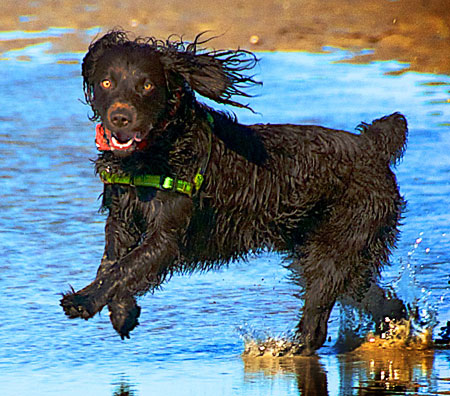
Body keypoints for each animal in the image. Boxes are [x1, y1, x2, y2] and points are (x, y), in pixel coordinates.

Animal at [59, 29, 408, 354]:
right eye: (106, 83)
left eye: (146, 86)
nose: (121, 117)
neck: (158, 151)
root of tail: (372, 146)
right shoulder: (121, 217)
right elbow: (112, 262)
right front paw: (122, 312)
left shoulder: (167, 236)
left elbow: (123, 268)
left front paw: (83, 301)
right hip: (330, 252)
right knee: (382, 300)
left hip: (338, 245)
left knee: (318, 319)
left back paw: (285, 352)